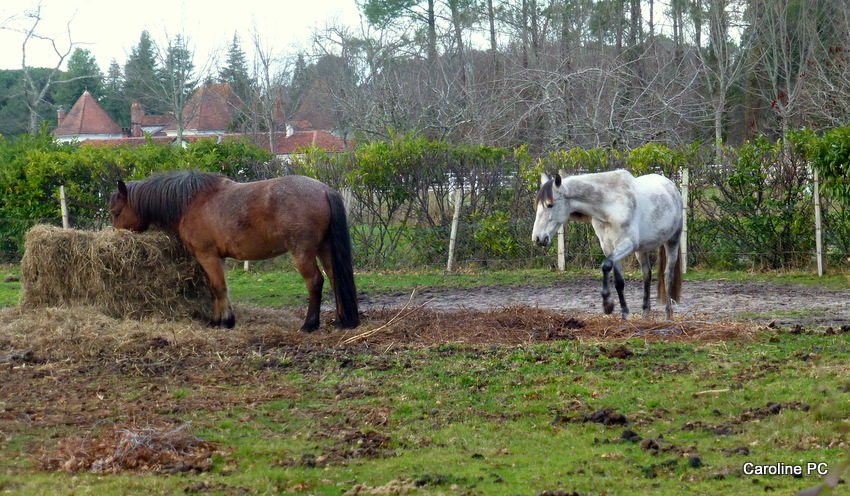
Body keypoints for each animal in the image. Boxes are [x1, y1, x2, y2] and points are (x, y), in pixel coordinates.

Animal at [107, 170, 358, 334]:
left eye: (116, 212)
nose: (114, 237)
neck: (191, 202)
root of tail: (324, 190)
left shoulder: (207, 256)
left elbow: (217, 287)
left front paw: (224, 321)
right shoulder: (218, 258)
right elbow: (219, 288)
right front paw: (220, 319)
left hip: (302, 252)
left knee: (315, 282)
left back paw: (309, 325)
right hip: (324, 248)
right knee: (335, 279)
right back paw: (341, 320)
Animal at [528, 170, 684, 318]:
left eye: (550, 205)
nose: (537, 238)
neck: (611, 205)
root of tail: (671, 187)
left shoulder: (627, 244)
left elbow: (606, 265)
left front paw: (607, 305)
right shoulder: (608, 247)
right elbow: (619, 281)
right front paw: (624, 314)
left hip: (672, 241)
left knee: (668, 276)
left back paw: (669, 314)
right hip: (642, 249)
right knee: (646, 274)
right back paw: (645, 313)